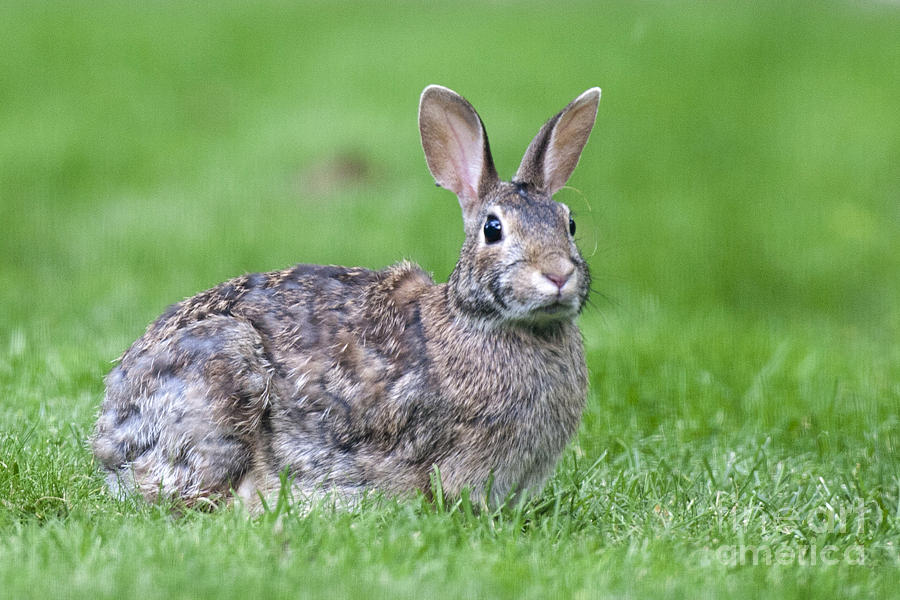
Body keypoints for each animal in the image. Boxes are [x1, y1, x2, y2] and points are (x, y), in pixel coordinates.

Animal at [91, 83, 600, 506]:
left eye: (570, 223)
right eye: (493, 229)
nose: (557, 274)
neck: (477, 317)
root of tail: (107, 432)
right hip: (221, 378)